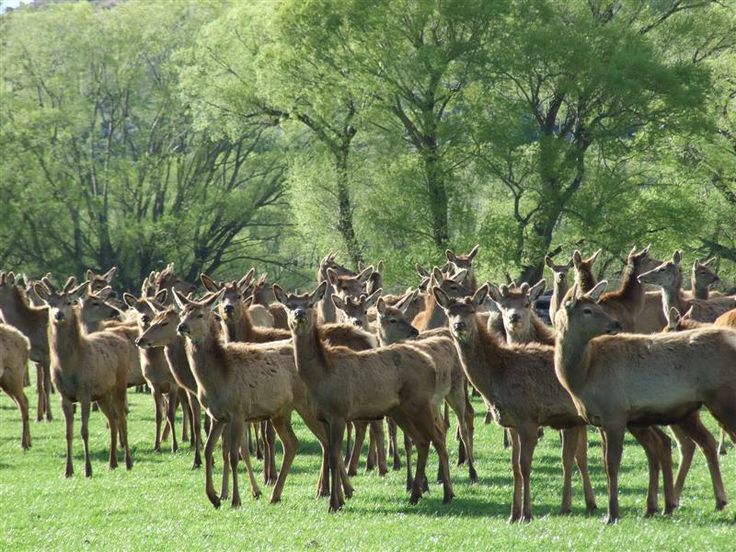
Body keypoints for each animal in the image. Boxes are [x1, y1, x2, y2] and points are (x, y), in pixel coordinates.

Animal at [0, 272, 53, 422]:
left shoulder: (47, 354)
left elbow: (46, 385)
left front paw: (49, 416)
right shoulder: (36, 359)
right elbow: (39, 386)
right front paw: (39, 416)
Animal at [34, 278, 134, 476]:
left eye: (68, 302)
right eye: (50, 303)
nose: (59, 314)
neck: (70, 365)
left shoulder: (85, 391)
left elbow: (84, 431)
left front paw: (88, 470)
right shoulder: (64, 395)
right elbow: (68, 433)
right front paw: (68, 471)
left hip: (119, 385)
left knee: (122, 418)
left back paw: (128, 462)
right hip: (103, 394)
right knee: (112, 419)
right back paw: (112, 463)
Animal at [274, 282, 452, 512]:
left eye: (310, 303)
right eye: (288, 305)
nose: (299, 314)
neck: (321, 375)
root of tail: (430, 363)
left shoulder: (339, 412)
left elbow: (334, 455)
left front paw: (334, 503)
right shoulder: (324, 416)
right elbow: (332, 453)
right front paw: (339, 499)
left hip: (421, 403)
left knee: (438, 438)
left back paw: (447, 494)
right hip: (400, 410)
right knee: (422, 441)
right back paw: (415, 495)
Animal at [556, 282, 732, 524]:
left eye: (596, 306)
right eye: (587, 310)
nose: (616, 324)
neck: (582, 375)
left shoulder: (614, 413)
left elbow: (611, 464)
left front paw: (612, 514)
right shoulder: (602, 420)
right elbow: (604, 462)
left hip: (723, 399)